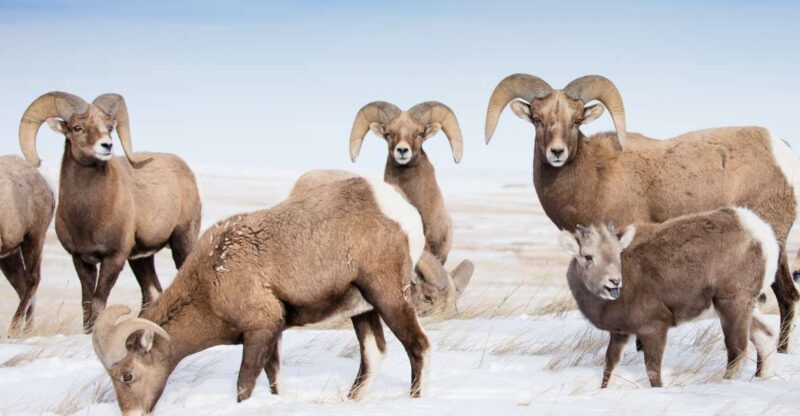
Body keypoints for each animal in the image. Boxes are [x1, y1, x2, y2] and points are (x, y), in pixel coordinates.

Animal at [18, 91, 202, 332]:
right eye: (77, 128)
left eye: (108, 127)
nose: (106, 145)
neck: (88, 216)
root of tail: (184, 169)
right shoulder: (82, 260)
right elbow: (87, 303)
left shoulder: (114, 259)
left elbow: (99, 302)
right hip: (141, 259)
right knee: (151, 293)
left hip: (182, 242)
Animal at [92, 175, 447, 414]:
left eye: (127, 375)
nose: (132, 414)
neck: (210, 282)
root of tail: (399, 208)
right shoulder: (273, 334)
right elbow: (275, 382)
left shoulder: (259, 331)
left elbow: (244, 385)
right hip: (362, 308)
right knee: (374, 353)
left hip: (388, 296)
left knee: (418, 346)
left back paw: (415, 399)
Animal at [485, 74, 800, 352]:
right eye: (538, 120)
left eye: (576, 120)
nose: (557, 152)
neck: (594, 176)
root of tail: (781, 152)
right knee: (788, 297)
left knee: (785, 297)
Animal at [559, 208, 778, 388]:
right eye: (588, 256)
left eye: (619, 253)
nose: (615, 281)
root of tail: (761, 234)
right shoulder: (620, 334)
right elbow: (609, 368)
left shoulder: (653, 328)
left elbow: (653, 373)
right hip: (742, 308)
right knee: (766, 336)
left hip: (732, 305)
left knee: (737, 352)